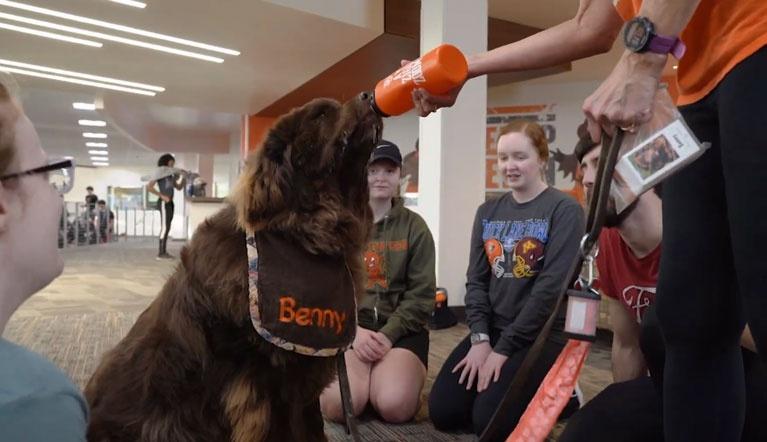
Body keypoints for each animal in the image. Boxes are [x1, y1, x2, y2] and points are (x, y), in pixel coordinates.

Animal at [85, 94, 384, 442]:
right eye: (321, 114)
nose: (368, 96)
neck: (304, 233)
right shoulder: (265, 383)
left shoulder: (304, 377)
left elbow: (312, 426)